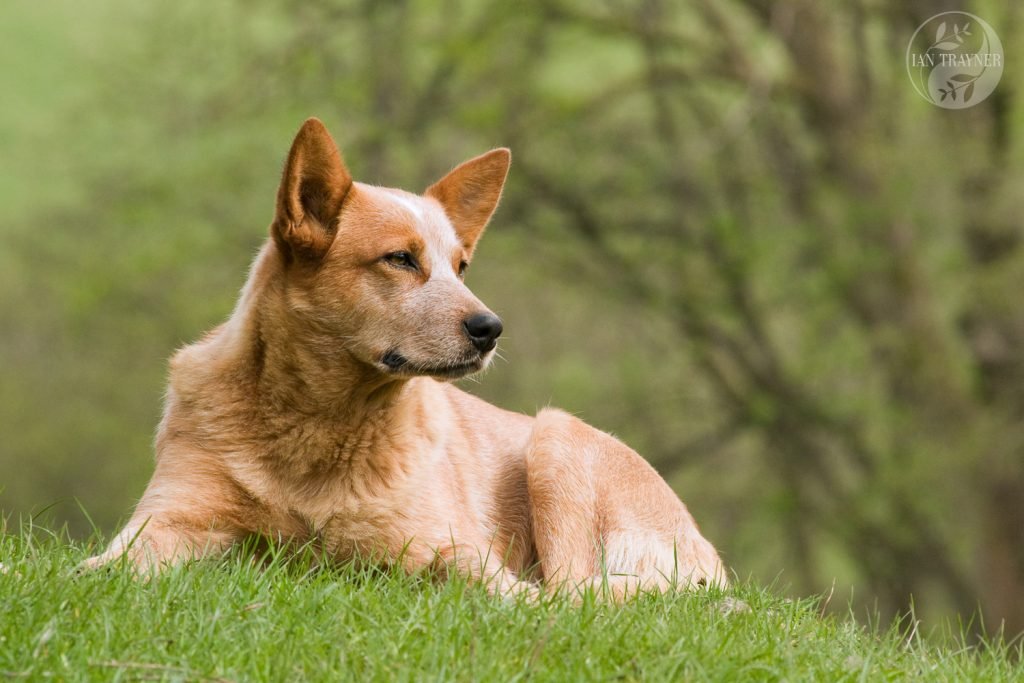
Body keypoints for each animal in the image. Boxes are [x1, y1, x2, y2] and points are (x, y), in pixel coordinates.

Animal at [88, 120, 729, 602]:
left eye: (461, 267)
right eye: (400, 259)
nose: (491, 329)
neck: (319, 428)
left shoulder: (452, 550)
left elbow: (496, 586)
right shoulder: (168, 520)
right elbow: (104, 569)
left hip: (556, 438)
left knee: (576, 591)